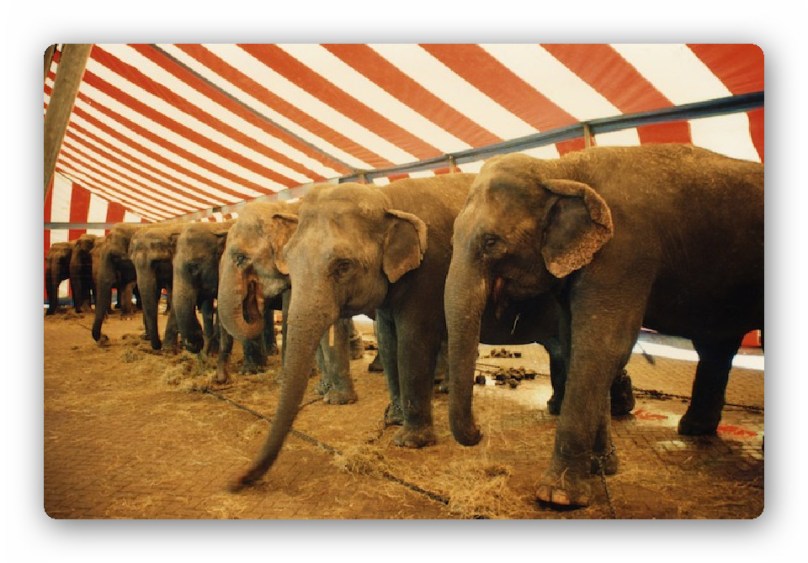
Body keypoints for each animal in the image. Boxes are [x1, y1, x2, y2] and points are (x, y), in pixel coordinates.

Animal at [443, 144, 764, 507]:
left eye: (491, 242)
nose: (480, 432)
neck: (559, 170)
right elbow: (575, 345)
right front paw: (602, 467)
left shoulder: (624, 251)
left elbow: (602, 345)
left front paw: (557, 497)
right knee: (716, 346)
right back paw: (694, 430)